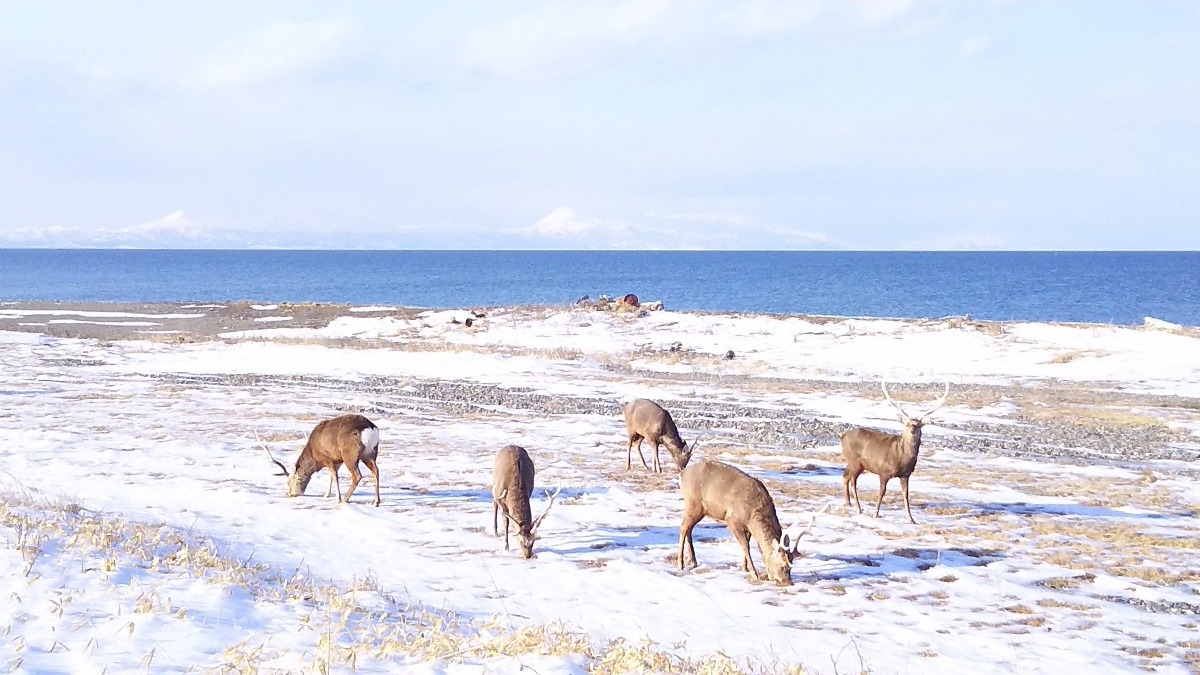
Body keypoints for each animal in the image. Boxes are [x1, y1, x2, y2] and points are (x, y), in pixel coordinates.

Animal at [681, 456, 820, 583]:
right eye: (782, 566)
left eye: (791, 568)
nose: (788, 582)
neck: (753, 515)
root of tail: (682, 474)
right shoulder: (732, 520)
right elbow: (745, 546)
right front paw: (754, 574)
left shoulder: (748, 528)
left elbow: (747, 544)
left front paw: (744, 568)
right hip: (693, 504)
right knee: (683, 527)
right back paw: (680, 563)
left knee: (689, 529)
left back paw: (693, 561)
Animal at [840, 381, 950, 523]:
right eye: (907, 424)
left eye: (918, 425)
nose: (912, 431)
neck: (902, 458)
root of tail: (842, 437)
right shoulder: (883, 472)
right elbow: (882, 492)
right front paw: (875, 513)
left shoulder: (906, 475)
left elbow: (906, 494)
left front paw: (911, 518)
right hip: (855, 461)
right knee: (853, 481)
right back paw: (858, 508)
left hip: (854, 463)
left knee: (845, 475)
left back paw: (848, 503)